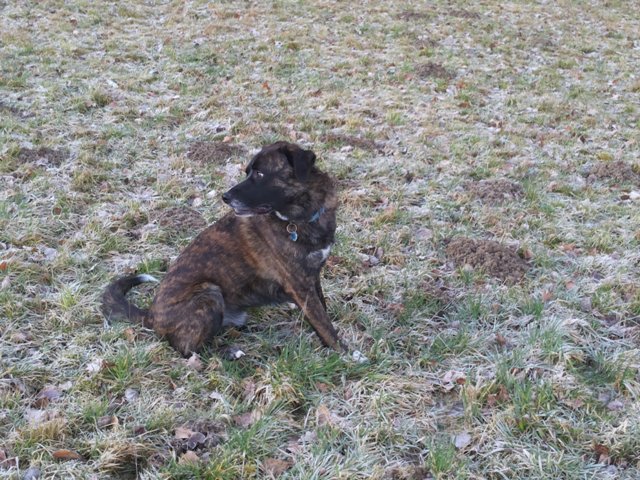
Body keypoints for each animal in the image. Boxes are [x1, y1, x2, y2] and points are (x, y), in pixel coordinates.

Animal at [102, 141, 350, 358]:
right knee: (188, 349)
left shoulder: (312, 277)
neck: (301, 219)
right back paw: (228, 353)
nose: (226, 197)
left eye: (260, 174)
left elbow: (322, 311)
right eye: (248, 172)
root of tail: (151, 316)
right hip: (208, 293)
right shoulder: (299, 285)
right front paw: (346, 356)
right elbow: (323, 323)